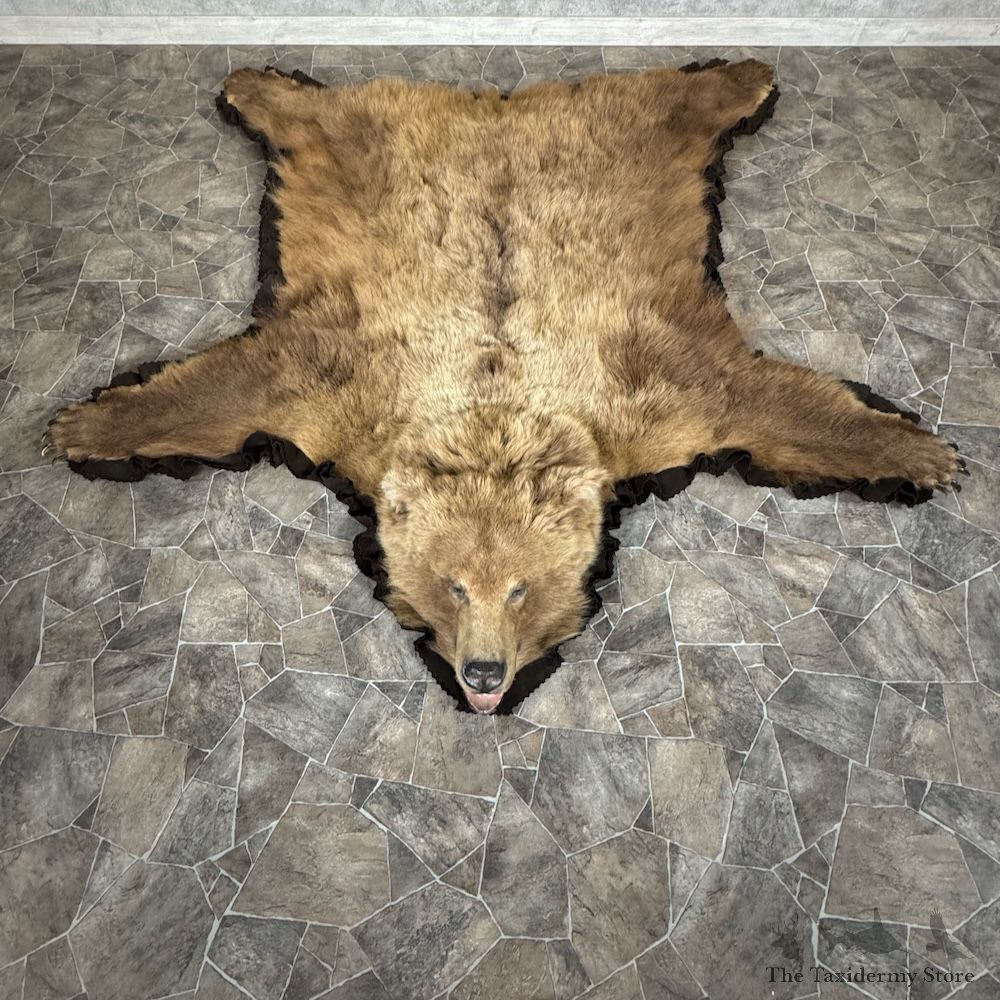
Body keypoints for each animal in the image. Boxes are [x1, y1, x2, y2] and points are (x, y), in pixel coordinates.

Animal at [46, 61, 960, 714]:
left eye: (520, 589)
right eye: (454, 585)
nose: (484, 673)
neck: (496, 413)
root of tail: (494, 108)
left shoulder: (656, 388)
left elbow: (766, 400)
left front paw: (922, 450)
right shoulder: (335, 376)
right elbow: (222, 392)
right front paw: (85, 427)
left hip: (626, 138)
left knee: (667, 100)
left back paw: (746, 74)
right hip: (365, 144)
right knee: (325, 114)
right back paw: (255, 84)